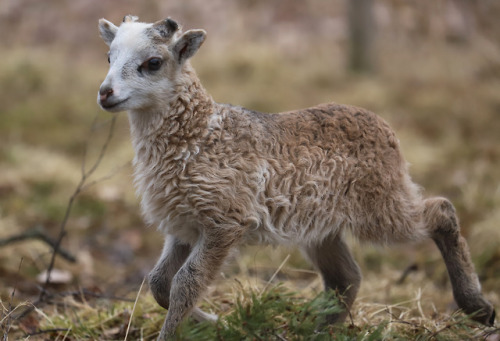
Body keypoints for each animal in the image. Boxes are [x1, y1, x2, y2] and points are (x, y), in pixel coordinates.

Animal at [97, 15, 496, 338]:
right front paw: (218, 323)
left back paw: (479, 308)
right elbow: (159, 283)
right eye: (108, 57)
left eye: (153, 62)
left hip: (381, 205)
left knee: (441, 210)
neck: (198, 135)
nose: (105, 93)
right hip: (322, 224)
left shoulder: (225, 221)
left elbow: (184, 283)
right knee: (346, 276)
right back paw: (318, 330)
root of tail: (387, 129)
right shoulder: (183, 224)